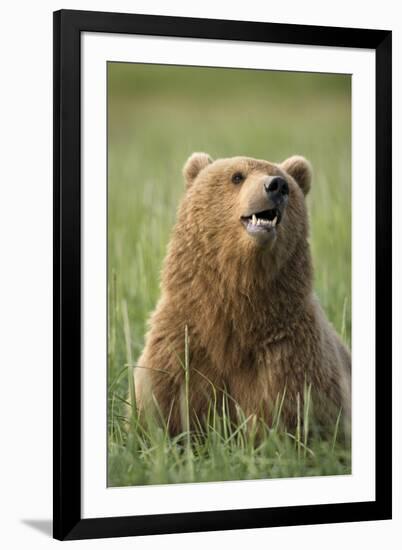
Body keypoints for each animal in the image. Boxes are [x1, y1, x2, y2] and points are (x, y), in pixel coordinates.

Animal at [133, 154, 350, 436]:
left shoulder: (289, 355)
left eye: (286, 183)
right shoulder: (182, 343)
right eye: (237, 176)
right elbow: (163, 404)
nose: (277, 186)